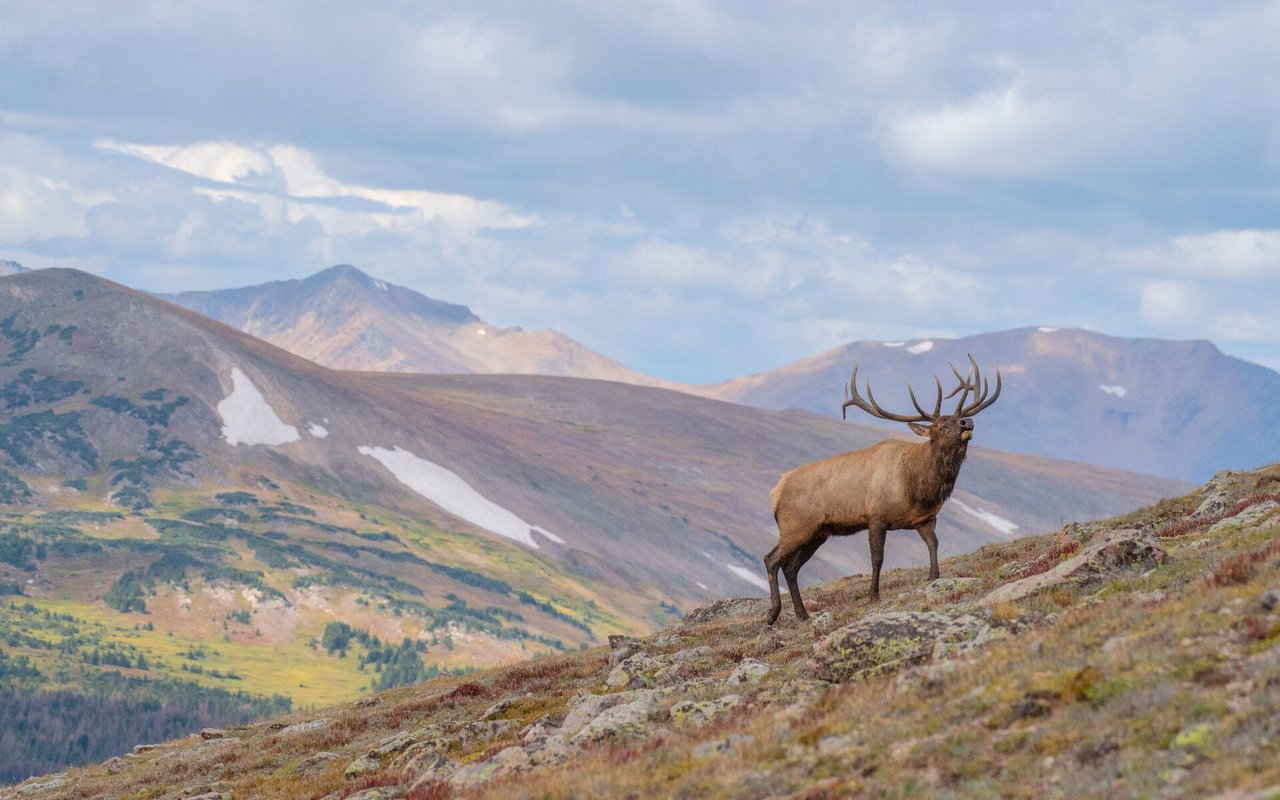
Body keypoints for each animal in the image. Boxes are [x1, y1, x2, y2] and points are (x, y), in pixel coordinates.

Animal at [764, 354, 1001, 626]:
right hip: (795, 526)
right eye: (941, 426)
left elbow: (933, 544)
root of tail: (775, 492)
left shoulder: (926, 518)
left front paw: (935, 576)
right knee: (771, 559)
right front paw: (873, 595)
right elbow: (877, 558)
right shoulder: (876, 516)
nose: (967, 421)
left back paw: (802, 615)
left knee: (791, 567)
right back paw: (772, 614)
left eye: (957, 419)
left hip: (817, 533)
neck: (918, 488)